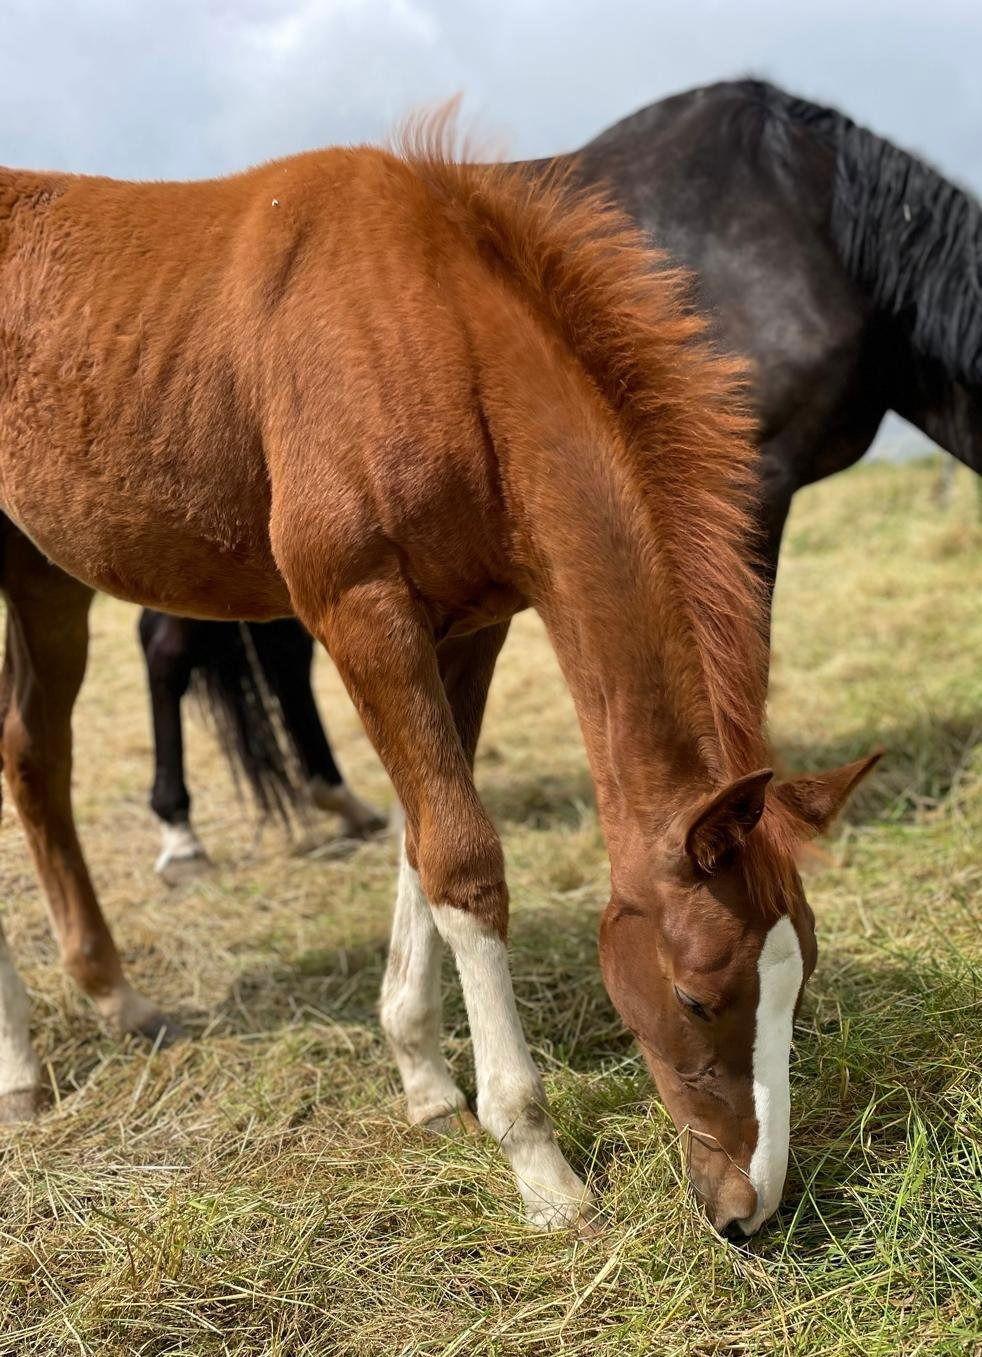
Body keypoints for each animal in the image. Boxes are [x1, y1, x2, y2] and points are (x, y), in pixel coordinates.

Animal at [0, 122, 878, 1237]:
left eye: (797, 977)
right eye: (694, 994)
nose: (746, 1209)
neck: (434, 336)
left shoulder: (471, 626)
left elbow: (422, 842)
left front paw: (425, 1081)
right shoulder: (360, 607)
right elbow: (461, 854)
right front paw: (539, 1161)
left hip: (43, 573)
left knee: (35, 757)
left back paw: (112, 996)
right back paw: (20, 1068)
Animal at [136, 77, 976, 879]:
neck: (814, 224)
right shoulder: (748, 487)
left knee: (271, 654)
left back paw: (341, 805)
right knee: (166, 645)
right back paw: (182, 838)